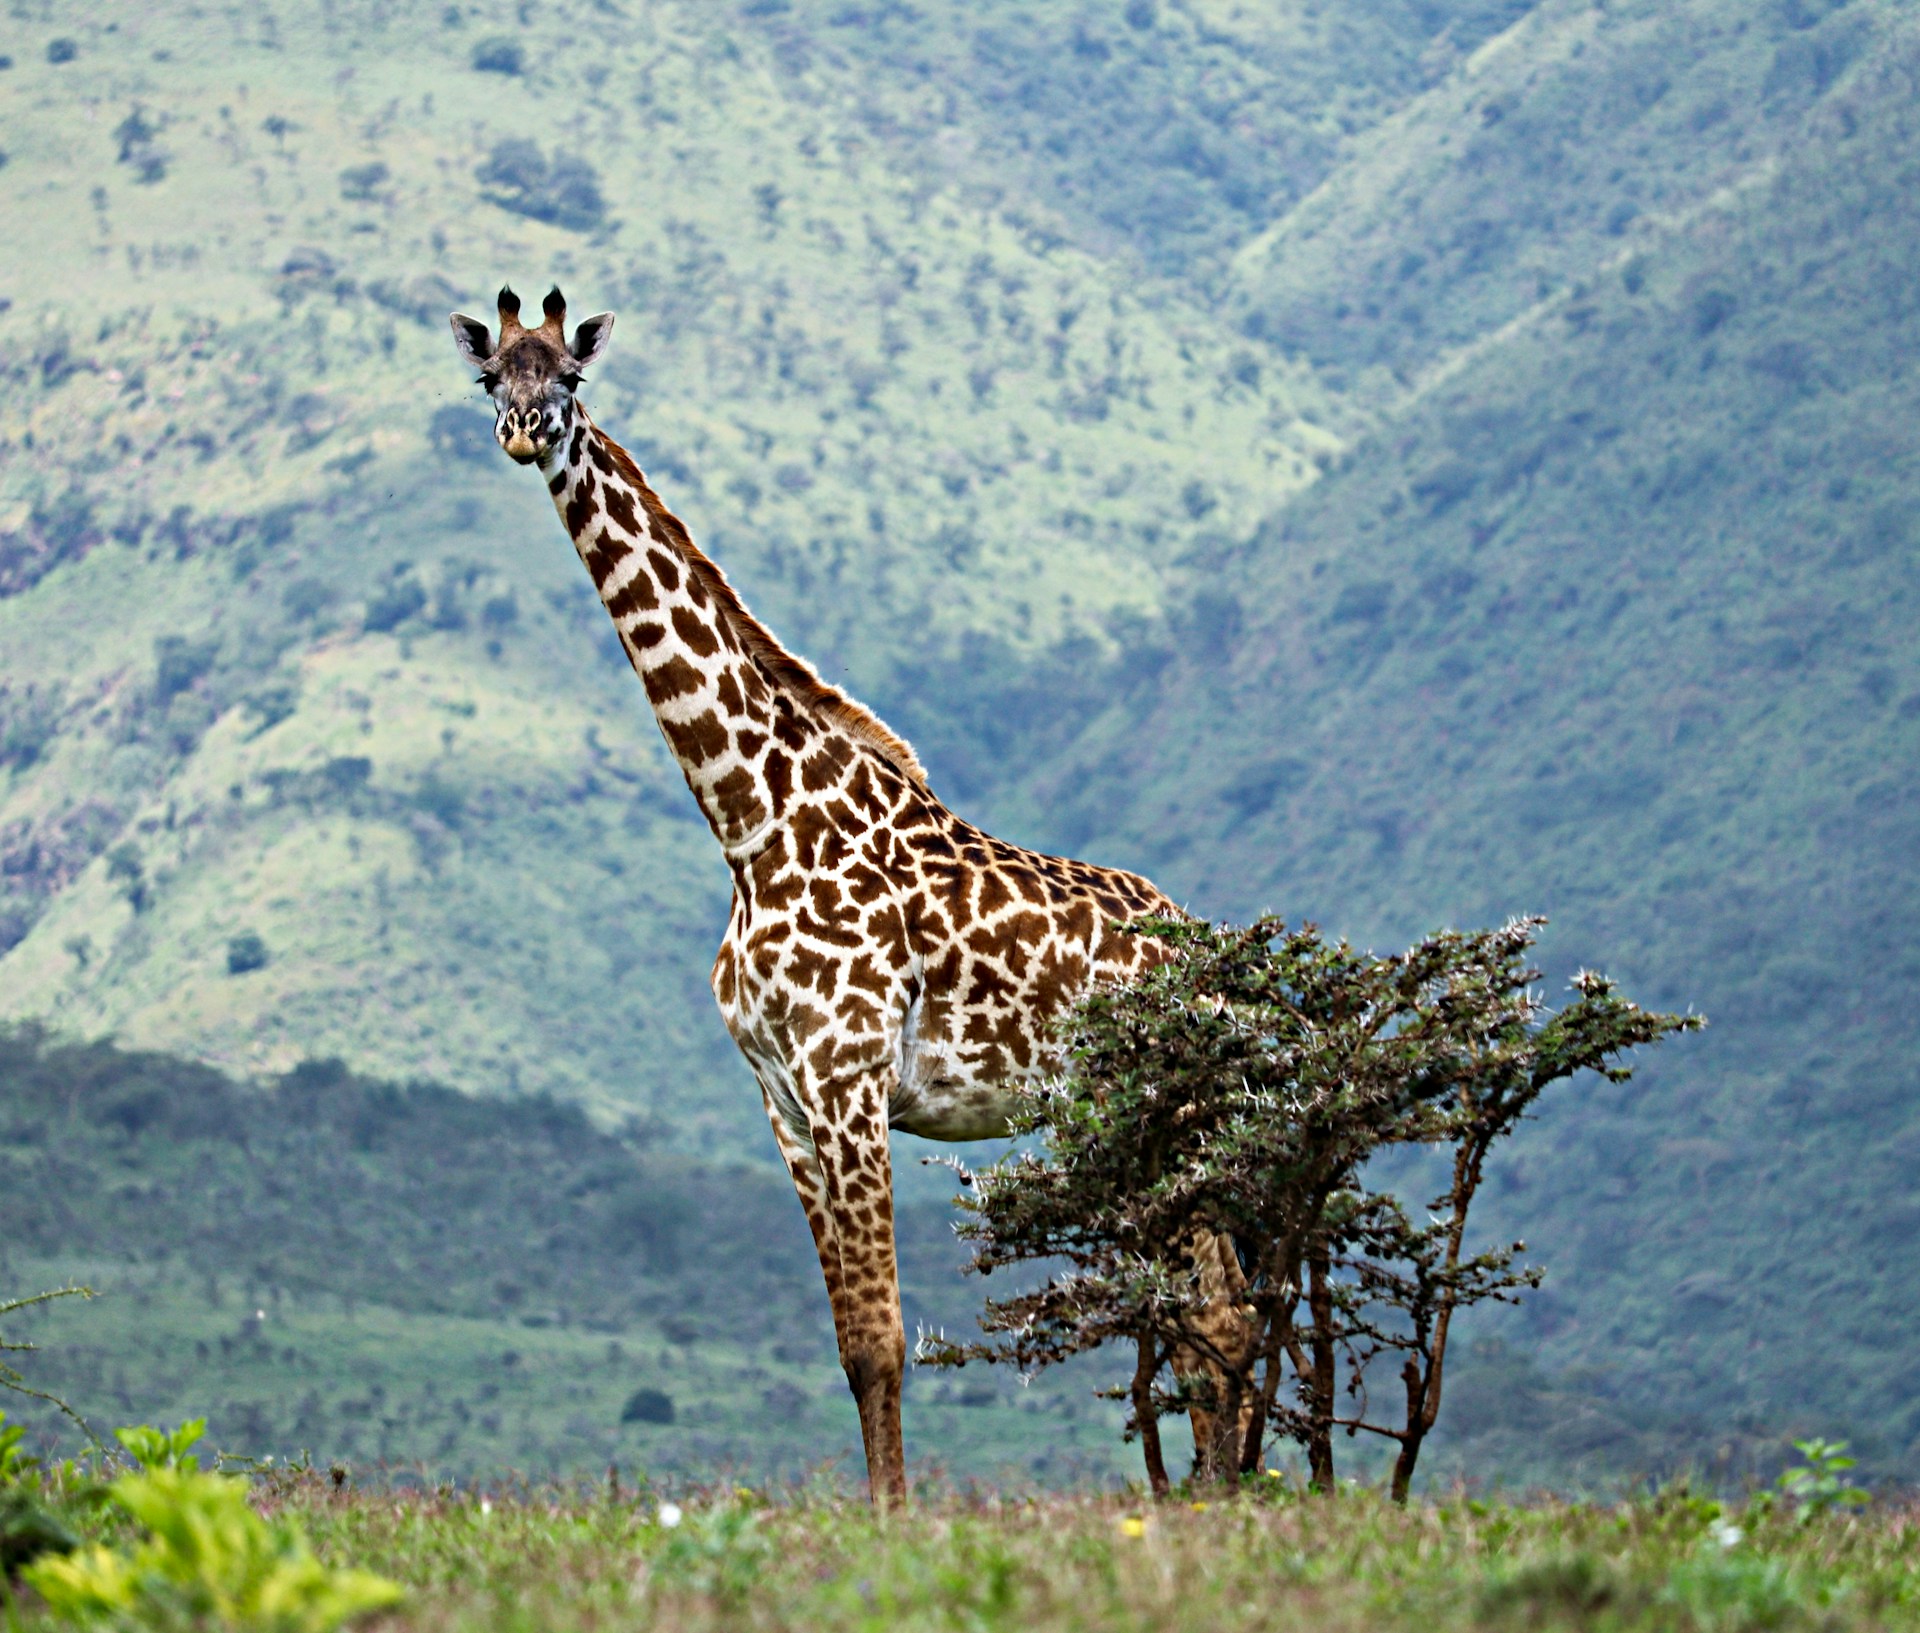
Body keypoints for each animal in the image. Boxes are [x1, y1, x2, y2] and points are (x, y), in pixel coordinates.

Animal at [453, 287, 1244, 1504]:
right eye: (494, 377)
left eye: (570, 381)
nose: (524, 431)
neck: (749, 818)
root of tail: (1216, 963)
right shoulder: (781, 1097)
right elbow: (847, 1342)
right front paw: (879, 1508)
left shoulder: (850, 1078)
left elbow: (883, 1339)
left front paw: (895, 1519)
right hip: (1138, 1125)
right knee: (1210, 1309)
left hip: (1175, 1115)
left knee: (1220, 1313)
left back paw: (1231, 1500)